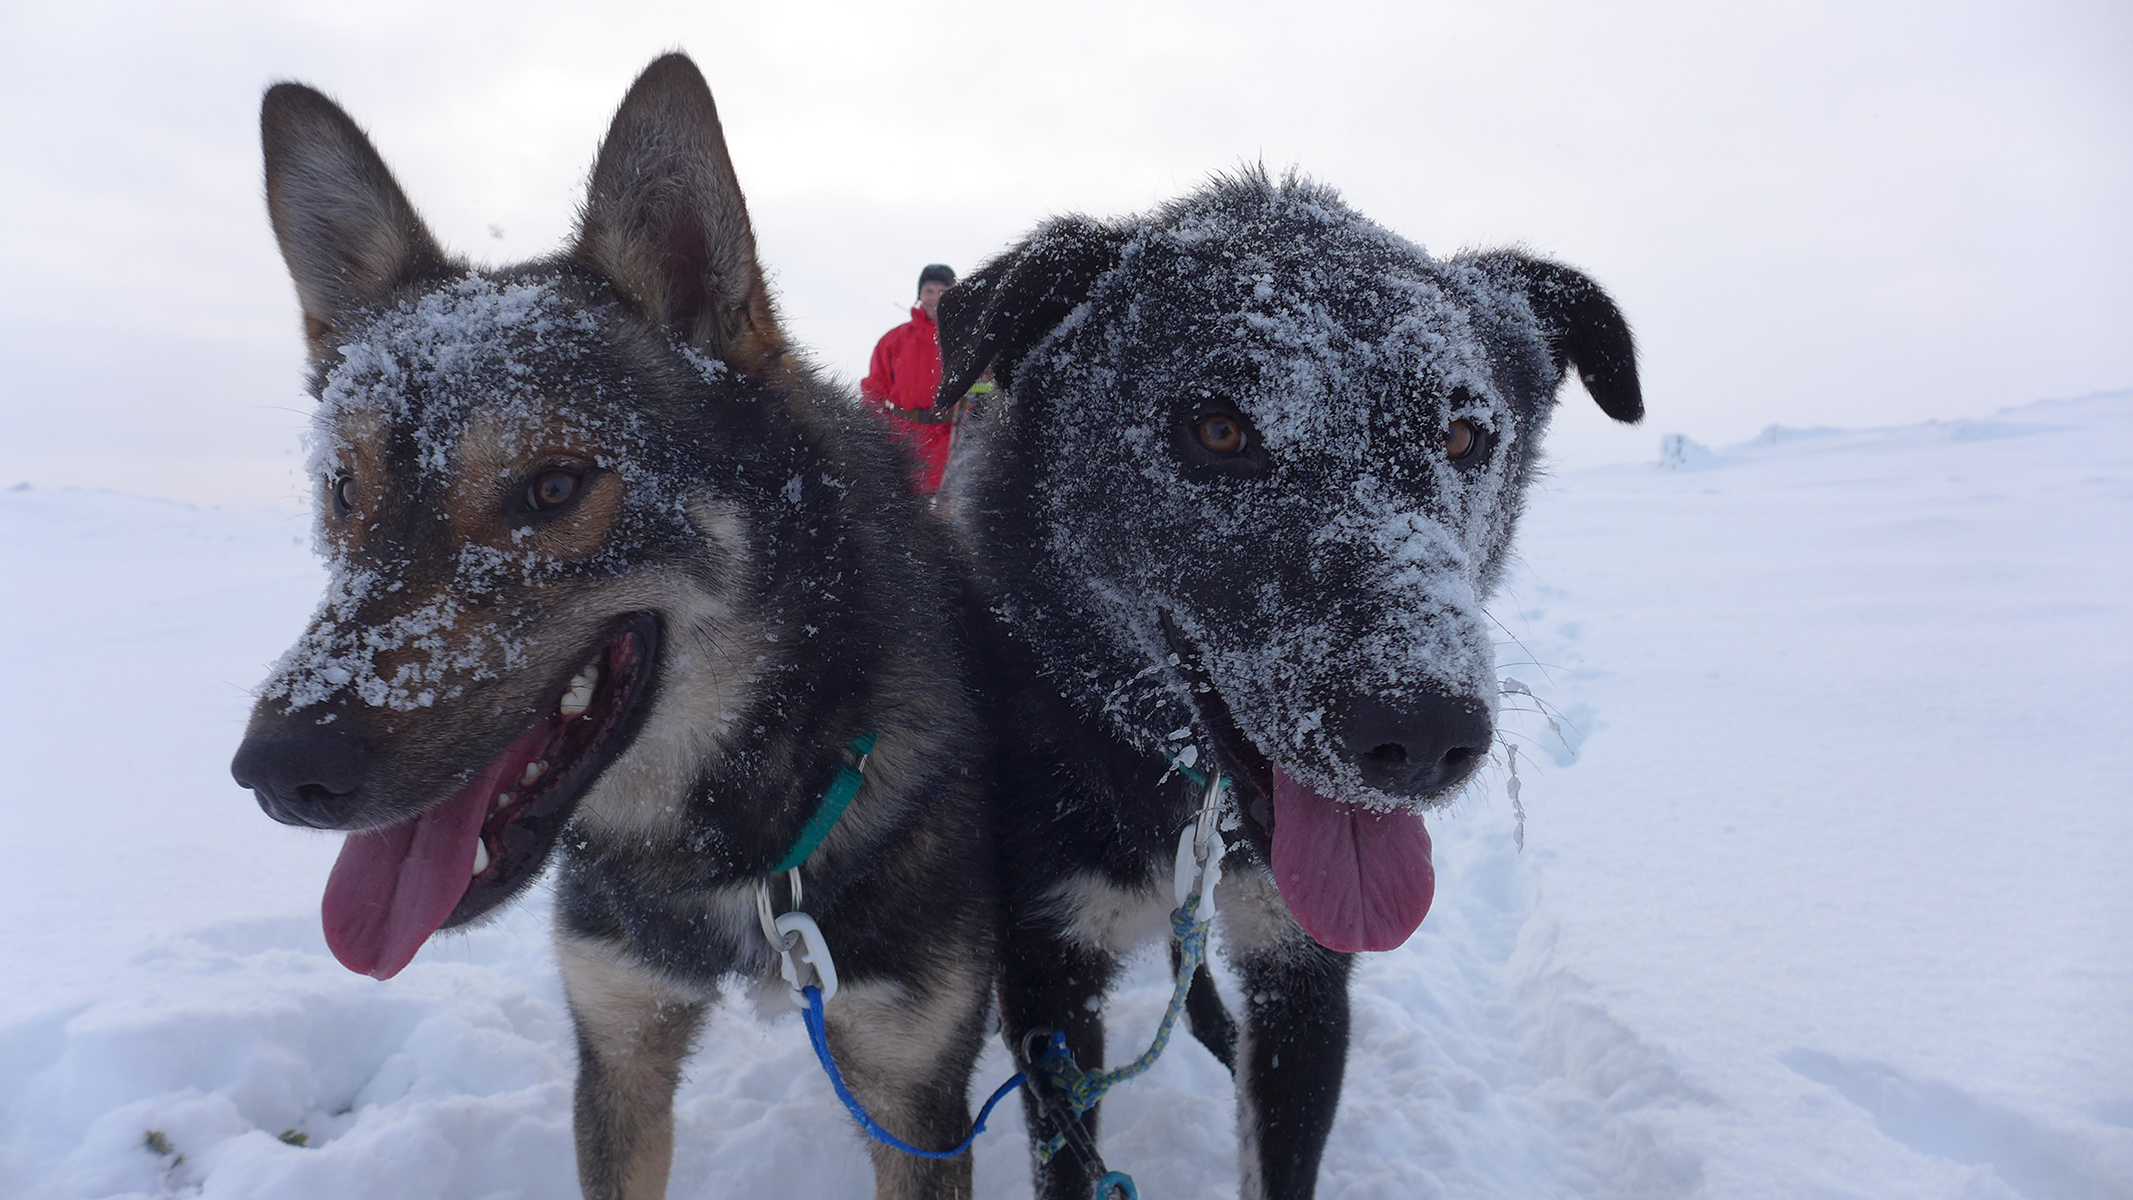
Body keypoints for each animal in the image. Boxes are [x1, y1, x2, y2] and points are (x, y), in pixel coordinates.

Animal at [934, 171, 1646, 1200]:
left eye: (1464, 435)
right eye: (1217, 427)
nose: (1424, 735)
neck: (1182, 795)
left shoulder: (1303, 975)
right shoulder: (1048, 986)